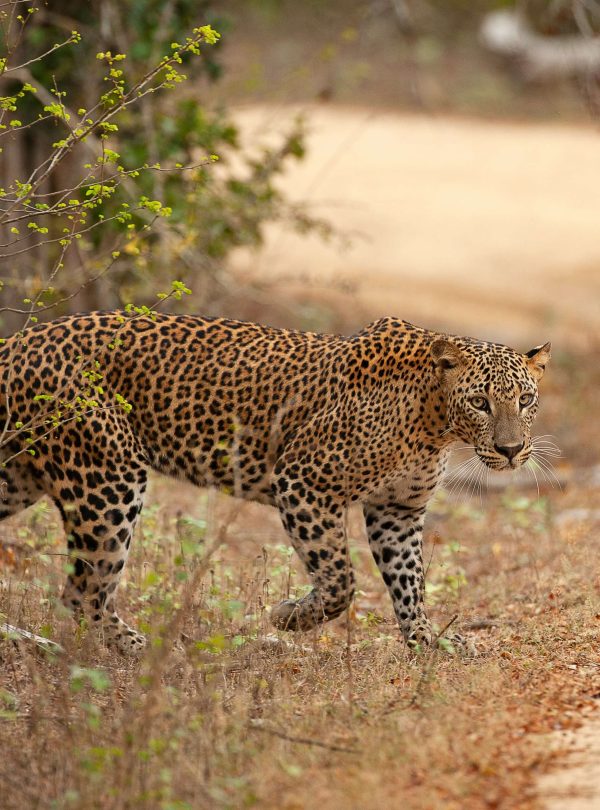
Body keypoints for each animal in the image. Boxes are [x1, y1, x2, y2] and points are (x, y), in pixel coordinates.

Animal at [0, 311, 550, 655]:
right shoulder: (305, 482)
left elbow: (409, 581)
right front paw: (288, 619)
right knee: (82, 591)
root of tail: (17, 342)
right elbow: (340, 581)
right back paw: (144, 649)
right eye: (480, 402)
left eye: (525, 399)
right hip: (109, 477)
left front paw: (428, 642)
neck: (434, 421)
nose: (510, 450)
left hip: (18, 477)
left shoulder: (397, 510)